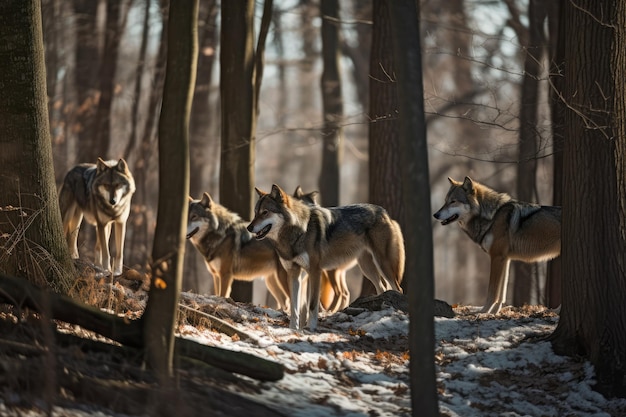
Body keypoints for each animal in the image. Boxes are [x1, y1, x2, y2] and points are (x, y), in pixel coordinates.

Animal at [246, 184, 402, 330]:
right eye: (255, 213)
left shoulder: (315, 271)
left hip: (382, 263)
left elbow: (312, 305)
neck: (298, 232)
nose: (249, 227)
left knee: (397, 288)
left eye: (265, 212)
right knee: (382, 287)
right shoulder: (295, 273)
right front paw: (293, 329)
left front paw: (310, 329)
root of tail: (383, 211)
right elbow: (295, 307)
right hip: (367, 268)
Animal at [432, 176, 560, 312]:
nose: (435, 215)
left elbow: (492, 291)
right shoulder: (506, 259)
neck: (492, 216)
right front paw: (494, 312)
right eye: (445, 201)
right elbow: (502, 292)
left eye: (453, 201)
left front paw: (484, 312)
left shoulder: (496, 257)